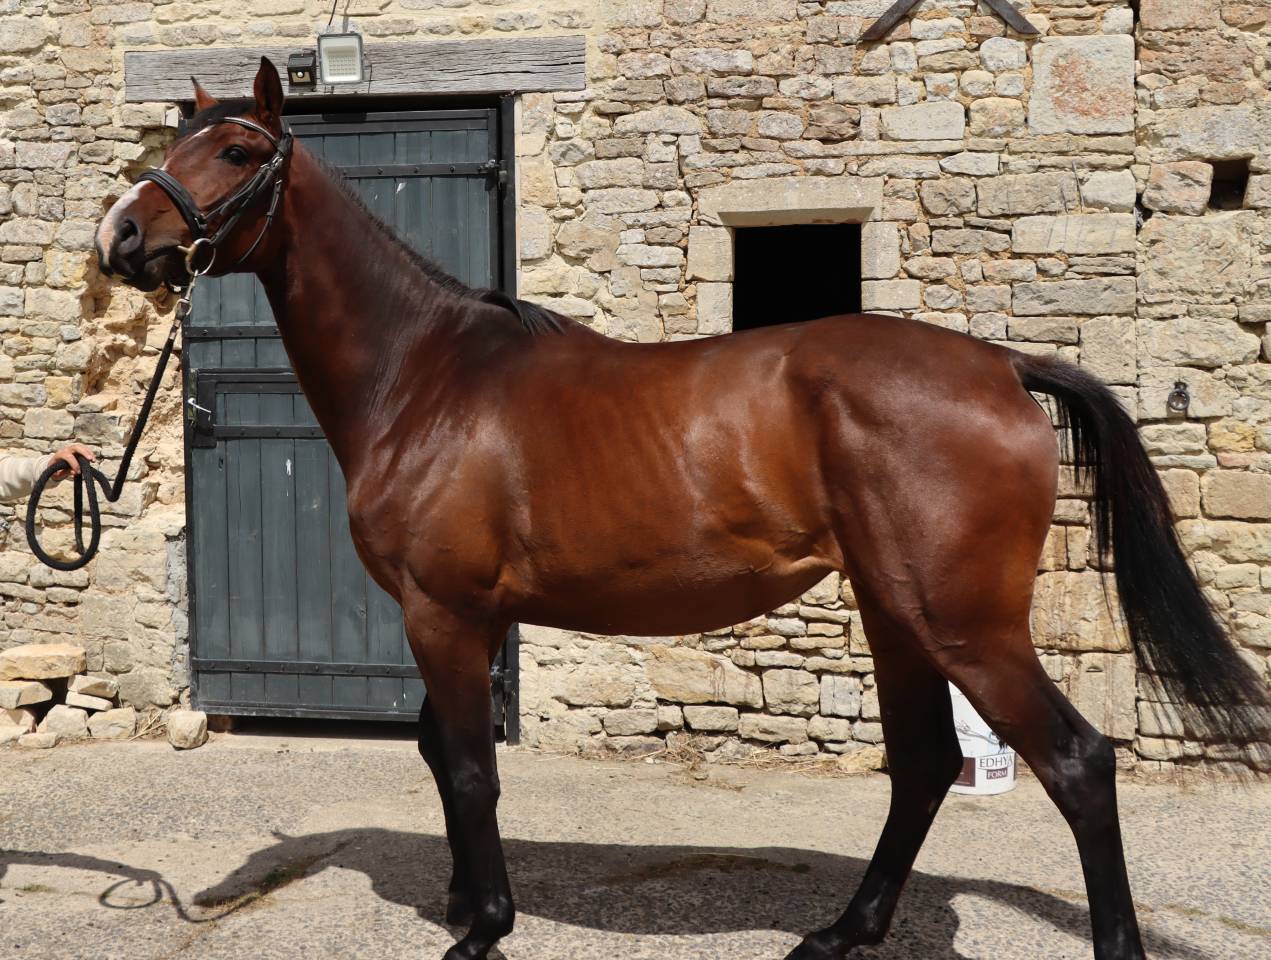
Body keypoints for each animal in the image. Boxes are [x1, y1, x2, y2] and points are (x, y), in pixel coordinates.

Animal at [95, 59, 1270, 960]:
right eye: (177, 138)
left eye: (237, 153)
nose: (121, 237)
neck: (426, 377)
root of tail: (998, 366)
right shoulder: (455, 616)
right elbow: (438, 751)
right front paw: (468, 902)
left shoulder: (443, 611)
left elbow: (468, 766)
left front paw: (483, 927)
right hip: (896, 614)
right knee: (925, 765)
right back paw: (840, 932)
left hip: (964, 625)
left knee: (1074, 762)